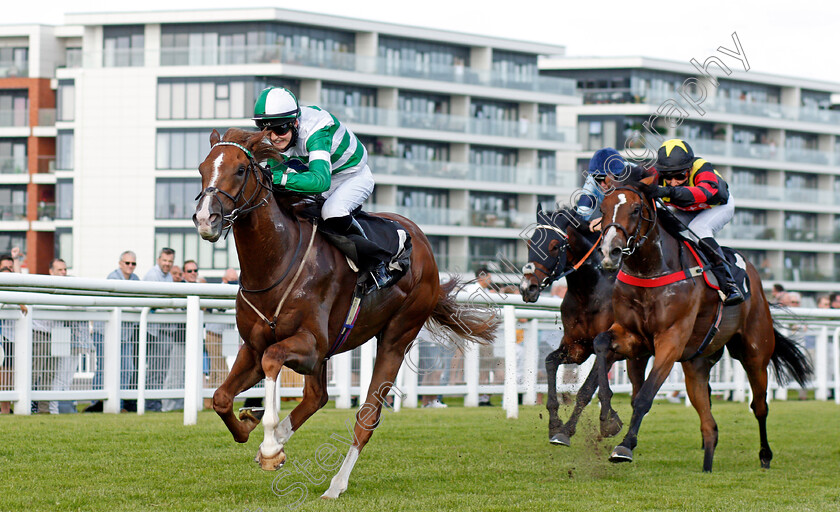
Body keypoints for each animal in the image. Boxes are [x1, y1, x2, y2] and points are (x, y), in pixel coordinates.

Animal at [193, 129, 496, 500]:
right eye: (202, 168)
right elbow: (221, 398)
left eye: (239, 170)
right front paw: (252, 424)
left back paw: (334, 484)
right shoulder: (254, 347)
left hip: (398, 337)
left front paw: (270, 447)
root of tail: (423, 244)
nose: (205, 219)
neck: (275, 264)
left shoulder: (311, 345)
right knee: (317, 396)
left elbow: (272, 360)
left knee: (366, 416)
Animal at [520, 206, 648, 446]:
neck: (590, 291)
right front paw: (555, 424)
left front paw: (571, 429)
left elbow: (586, 389)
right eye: (530, 244)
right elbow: (550, 361)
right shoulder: (577, 348)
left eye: (554, 246)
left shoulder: (611, 349)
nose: (526, 288)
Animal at [592, 175, 812, 472]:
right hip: (697, 363)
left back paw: (765, 455)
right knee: (709, 420)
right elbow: (601, 343)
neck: (650, 270)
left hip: (755, 352)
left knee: (759, 405)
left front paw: (624, 446)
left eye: (636, 209)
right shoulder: (632, 336)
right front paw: (608, 420)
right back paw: (707, 463)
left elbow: (645, 395)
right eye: (603, 209)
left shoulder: (671, 340)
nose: (610, 252)